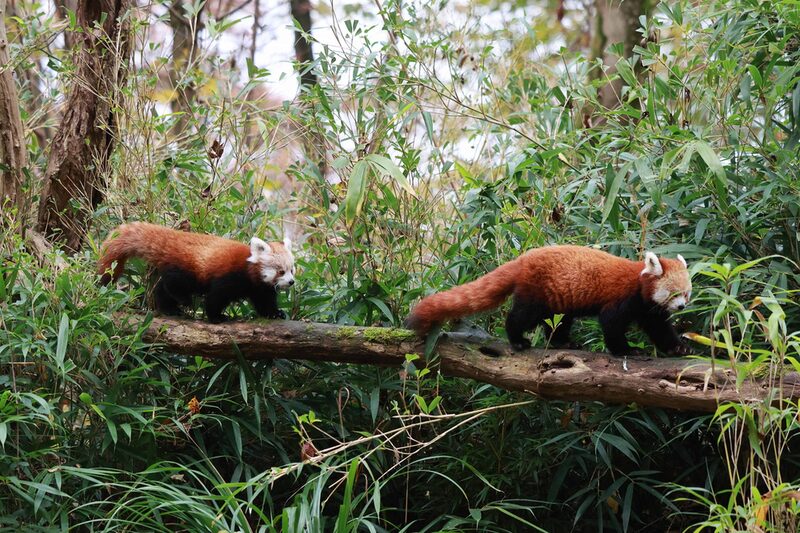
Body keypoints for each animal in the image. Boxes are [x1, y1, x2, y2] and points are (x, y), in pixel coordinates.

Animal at [97, 221, 296, 322]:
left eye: (292, 270)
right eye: (280, 271)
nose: (291, 282)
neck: (250, 273)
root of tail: (173, 238)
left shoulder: (259, 288)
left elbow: (264, 302)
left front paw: (275, 313)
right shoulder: (229, 276)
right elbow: (215, 298)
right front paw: (217, 317)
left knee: (161, 289)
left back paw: (169, 308)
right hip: (186, 267)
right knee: (172, 283)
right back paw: (183, 301)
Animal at [406, 246, 692, 356]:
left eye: (686, 294)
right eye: (674, 293)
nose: (682, 307)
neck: (639, 284)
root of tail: (523, 259)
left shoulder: (648, 308)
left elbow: (659, 328)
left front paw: (679, 348)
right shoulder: (622, 298)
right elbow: (611, 324)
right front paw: (626, 350)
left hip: (558, 298)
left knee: (557, 322)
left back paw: (563, 342)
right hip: (536, 291)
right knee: (521, 316)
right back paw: (518, 340)